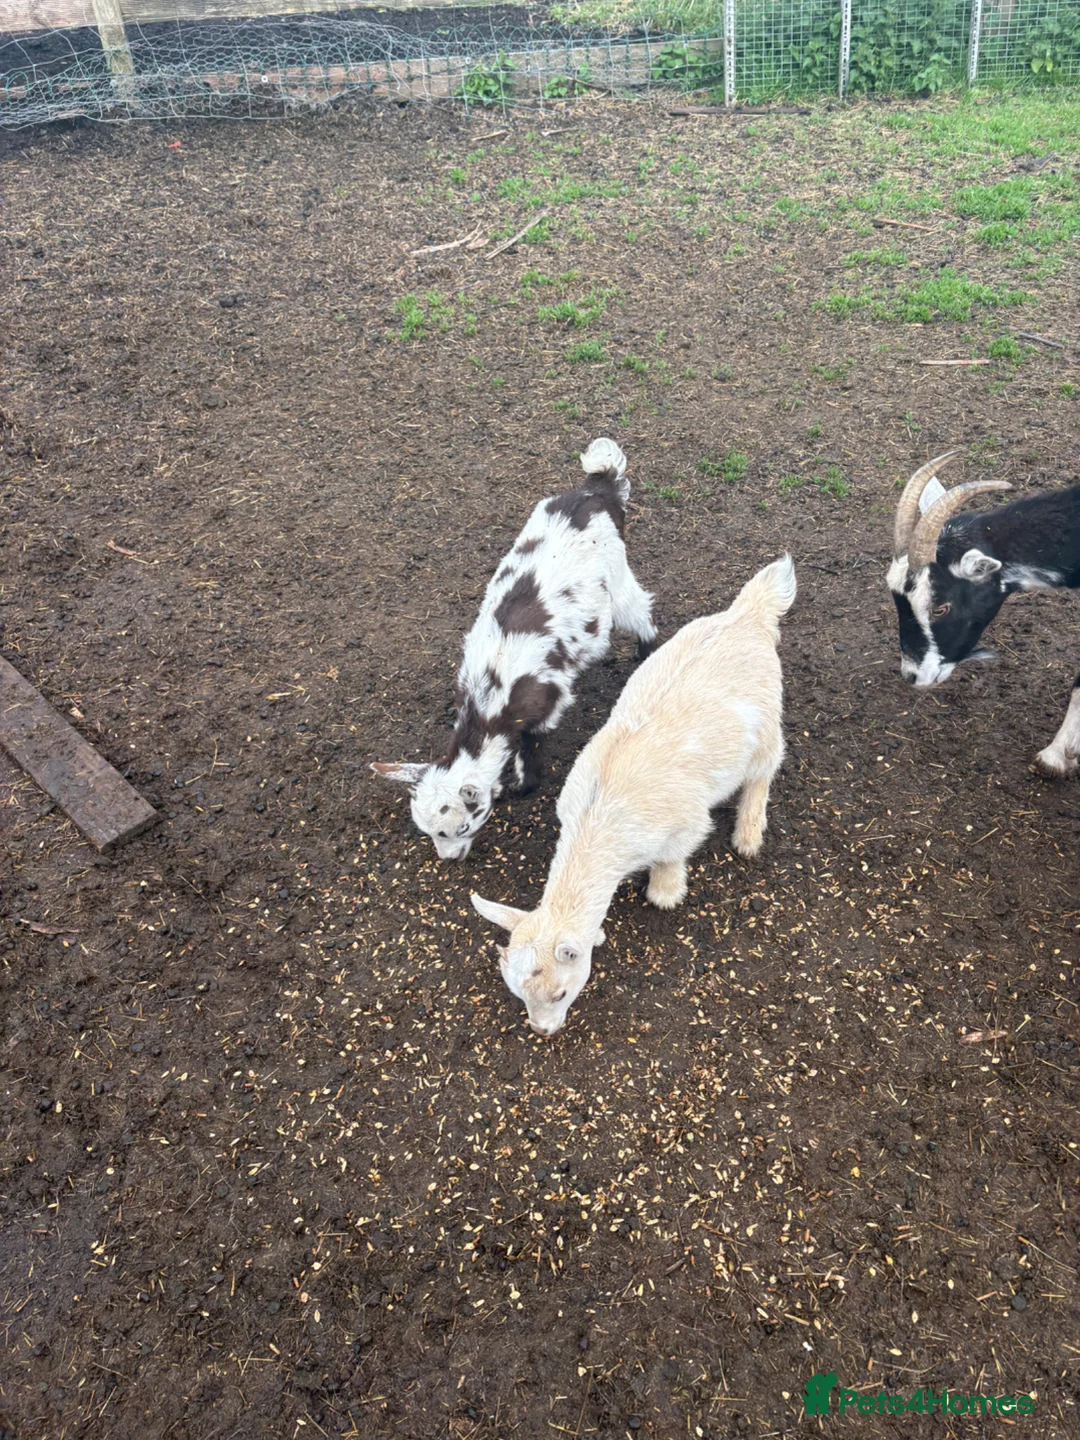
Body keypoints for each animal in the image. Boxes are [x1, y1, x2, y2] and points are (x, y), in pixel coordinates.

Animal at [372, 439, 657, 859]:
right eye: (429, 832)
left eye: (460, 827)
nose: (450, 858)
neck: (491, 697)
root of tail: (596, 490)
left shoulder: (547, 702)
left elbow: (531, 744)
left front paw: (522, 786)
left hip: (617, 578)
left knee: (641, 610)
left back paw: (646, 654)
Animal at [472, 555, 796, 1036]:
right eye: (517, 992)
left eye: (561, 993)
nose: (542, 1031)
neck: (597, 818)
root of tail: (748, 615)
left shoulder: (685, 825)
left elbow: (672, 860)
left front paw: (665, 894)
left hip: (769, 718)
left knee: (764, 771)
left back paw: (749, 835)